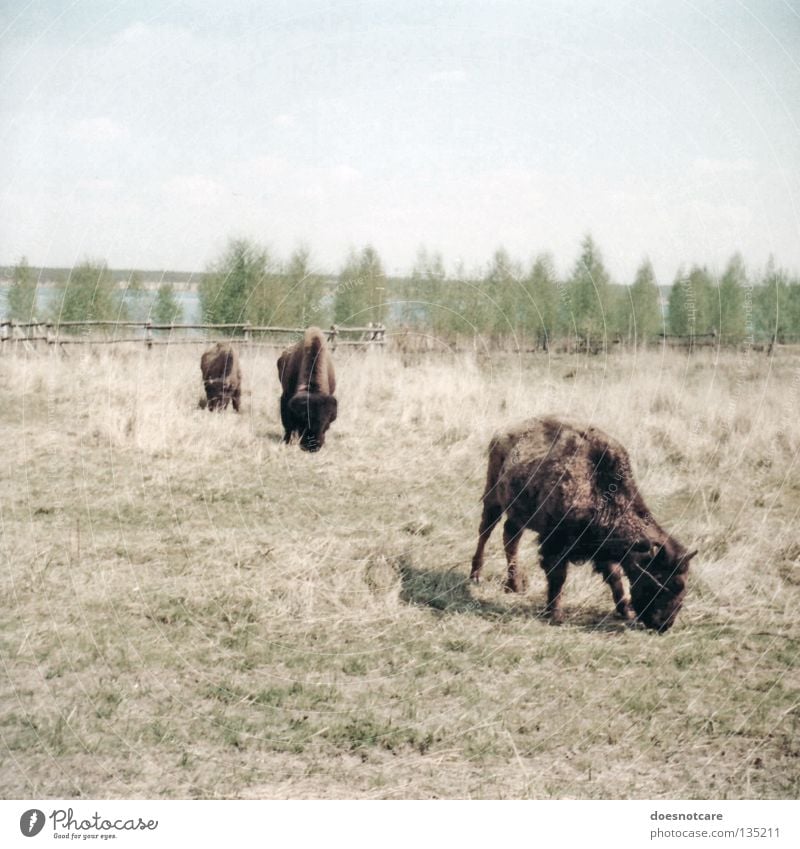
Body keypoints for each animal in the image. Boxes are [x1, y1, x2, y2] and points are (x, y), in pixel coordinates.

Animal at [472, 418, 696, 628]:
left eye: (683, 585)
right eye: (659, 581)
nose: (664, 624)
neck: (600, 489)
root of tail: (502, 432)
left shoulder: (602, 550)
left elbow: (614, 576)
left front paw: (625, 610)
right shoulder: (554, 543)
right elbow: (558, 577)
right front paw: (555, 614)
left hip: (517, 514)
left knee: (510, 538)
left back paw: (513, 585)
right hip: (493, 498)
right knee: (485, 531)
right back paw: (476, 575)